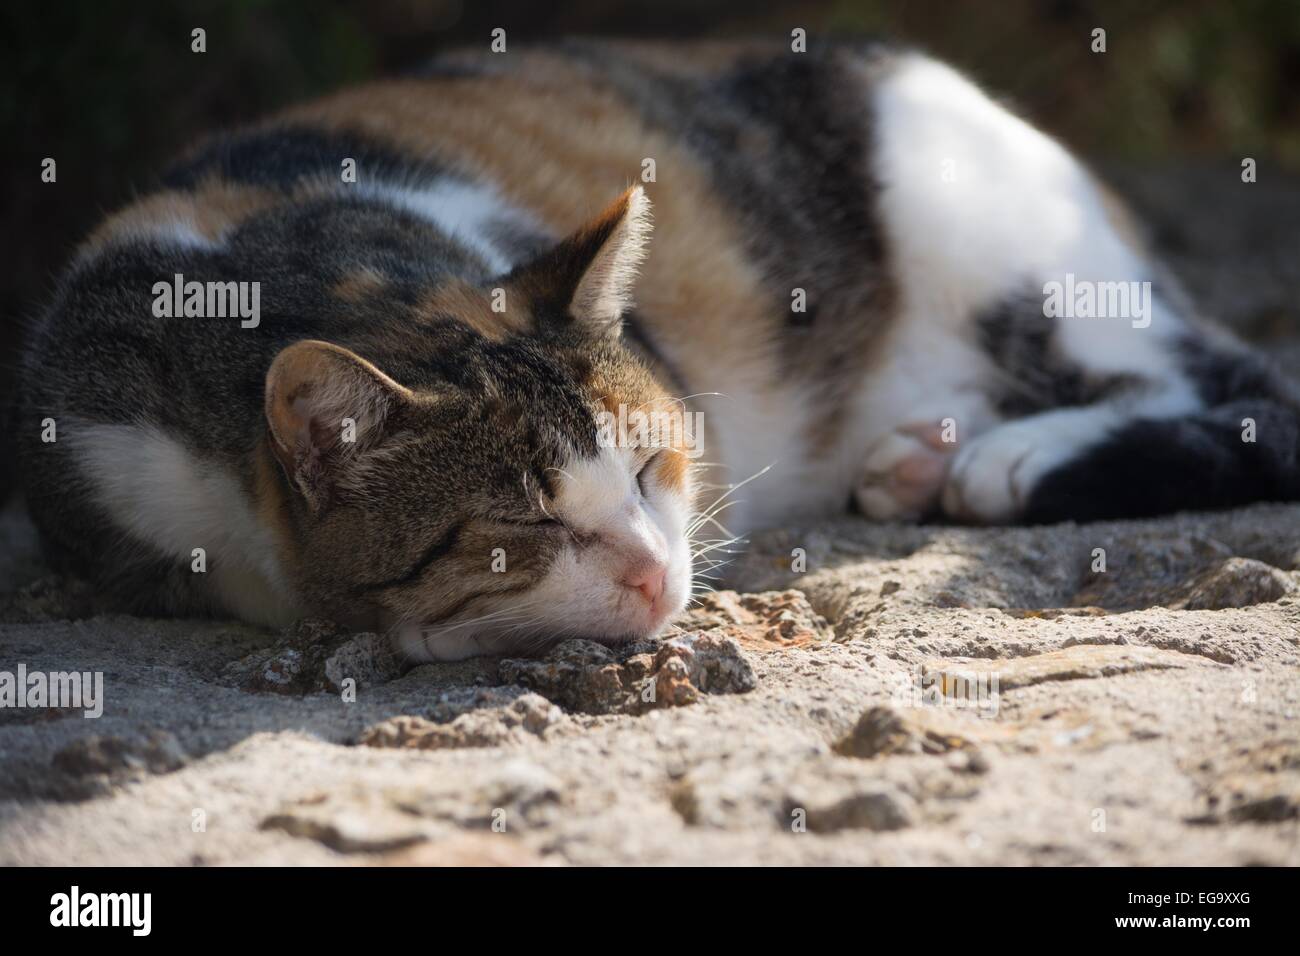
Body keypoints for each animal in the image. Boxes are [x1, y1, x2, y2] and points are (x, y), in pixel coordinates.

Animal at [12, 41, 1300, 660]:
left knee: (1244, 394)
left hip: (994, 235)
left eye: (646, 466)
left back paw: (998, 461)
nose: (649, 569)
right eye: (518, 524)